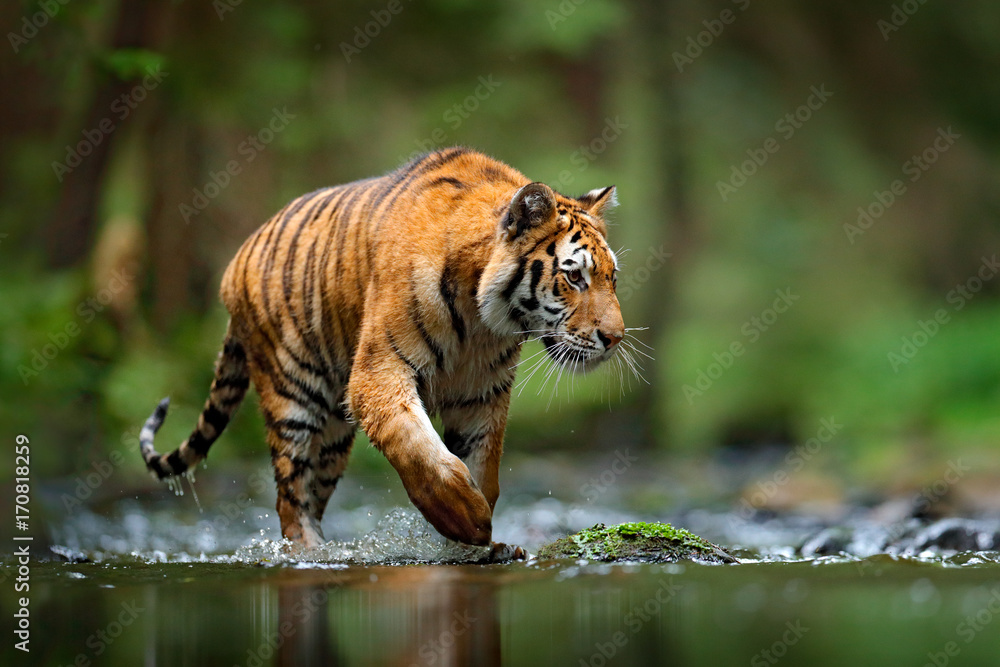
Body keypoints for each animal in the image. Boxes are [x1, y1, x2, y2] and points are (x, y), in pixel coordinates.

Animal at [139, 149, 624, 560]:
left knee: (313, 492)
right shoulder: (379, 372)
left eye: (612, 278)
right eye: (575, 277)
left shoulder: (480, 394)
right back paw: (310, 554)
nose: (615, 338)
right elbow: (416, 446)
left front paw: (473, 545)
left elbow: (483, 464)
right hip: (292, 395)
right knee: (289, 496)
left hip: (333, 436)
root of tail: (236, 261)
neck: (481, 321)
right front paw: (468, 518)